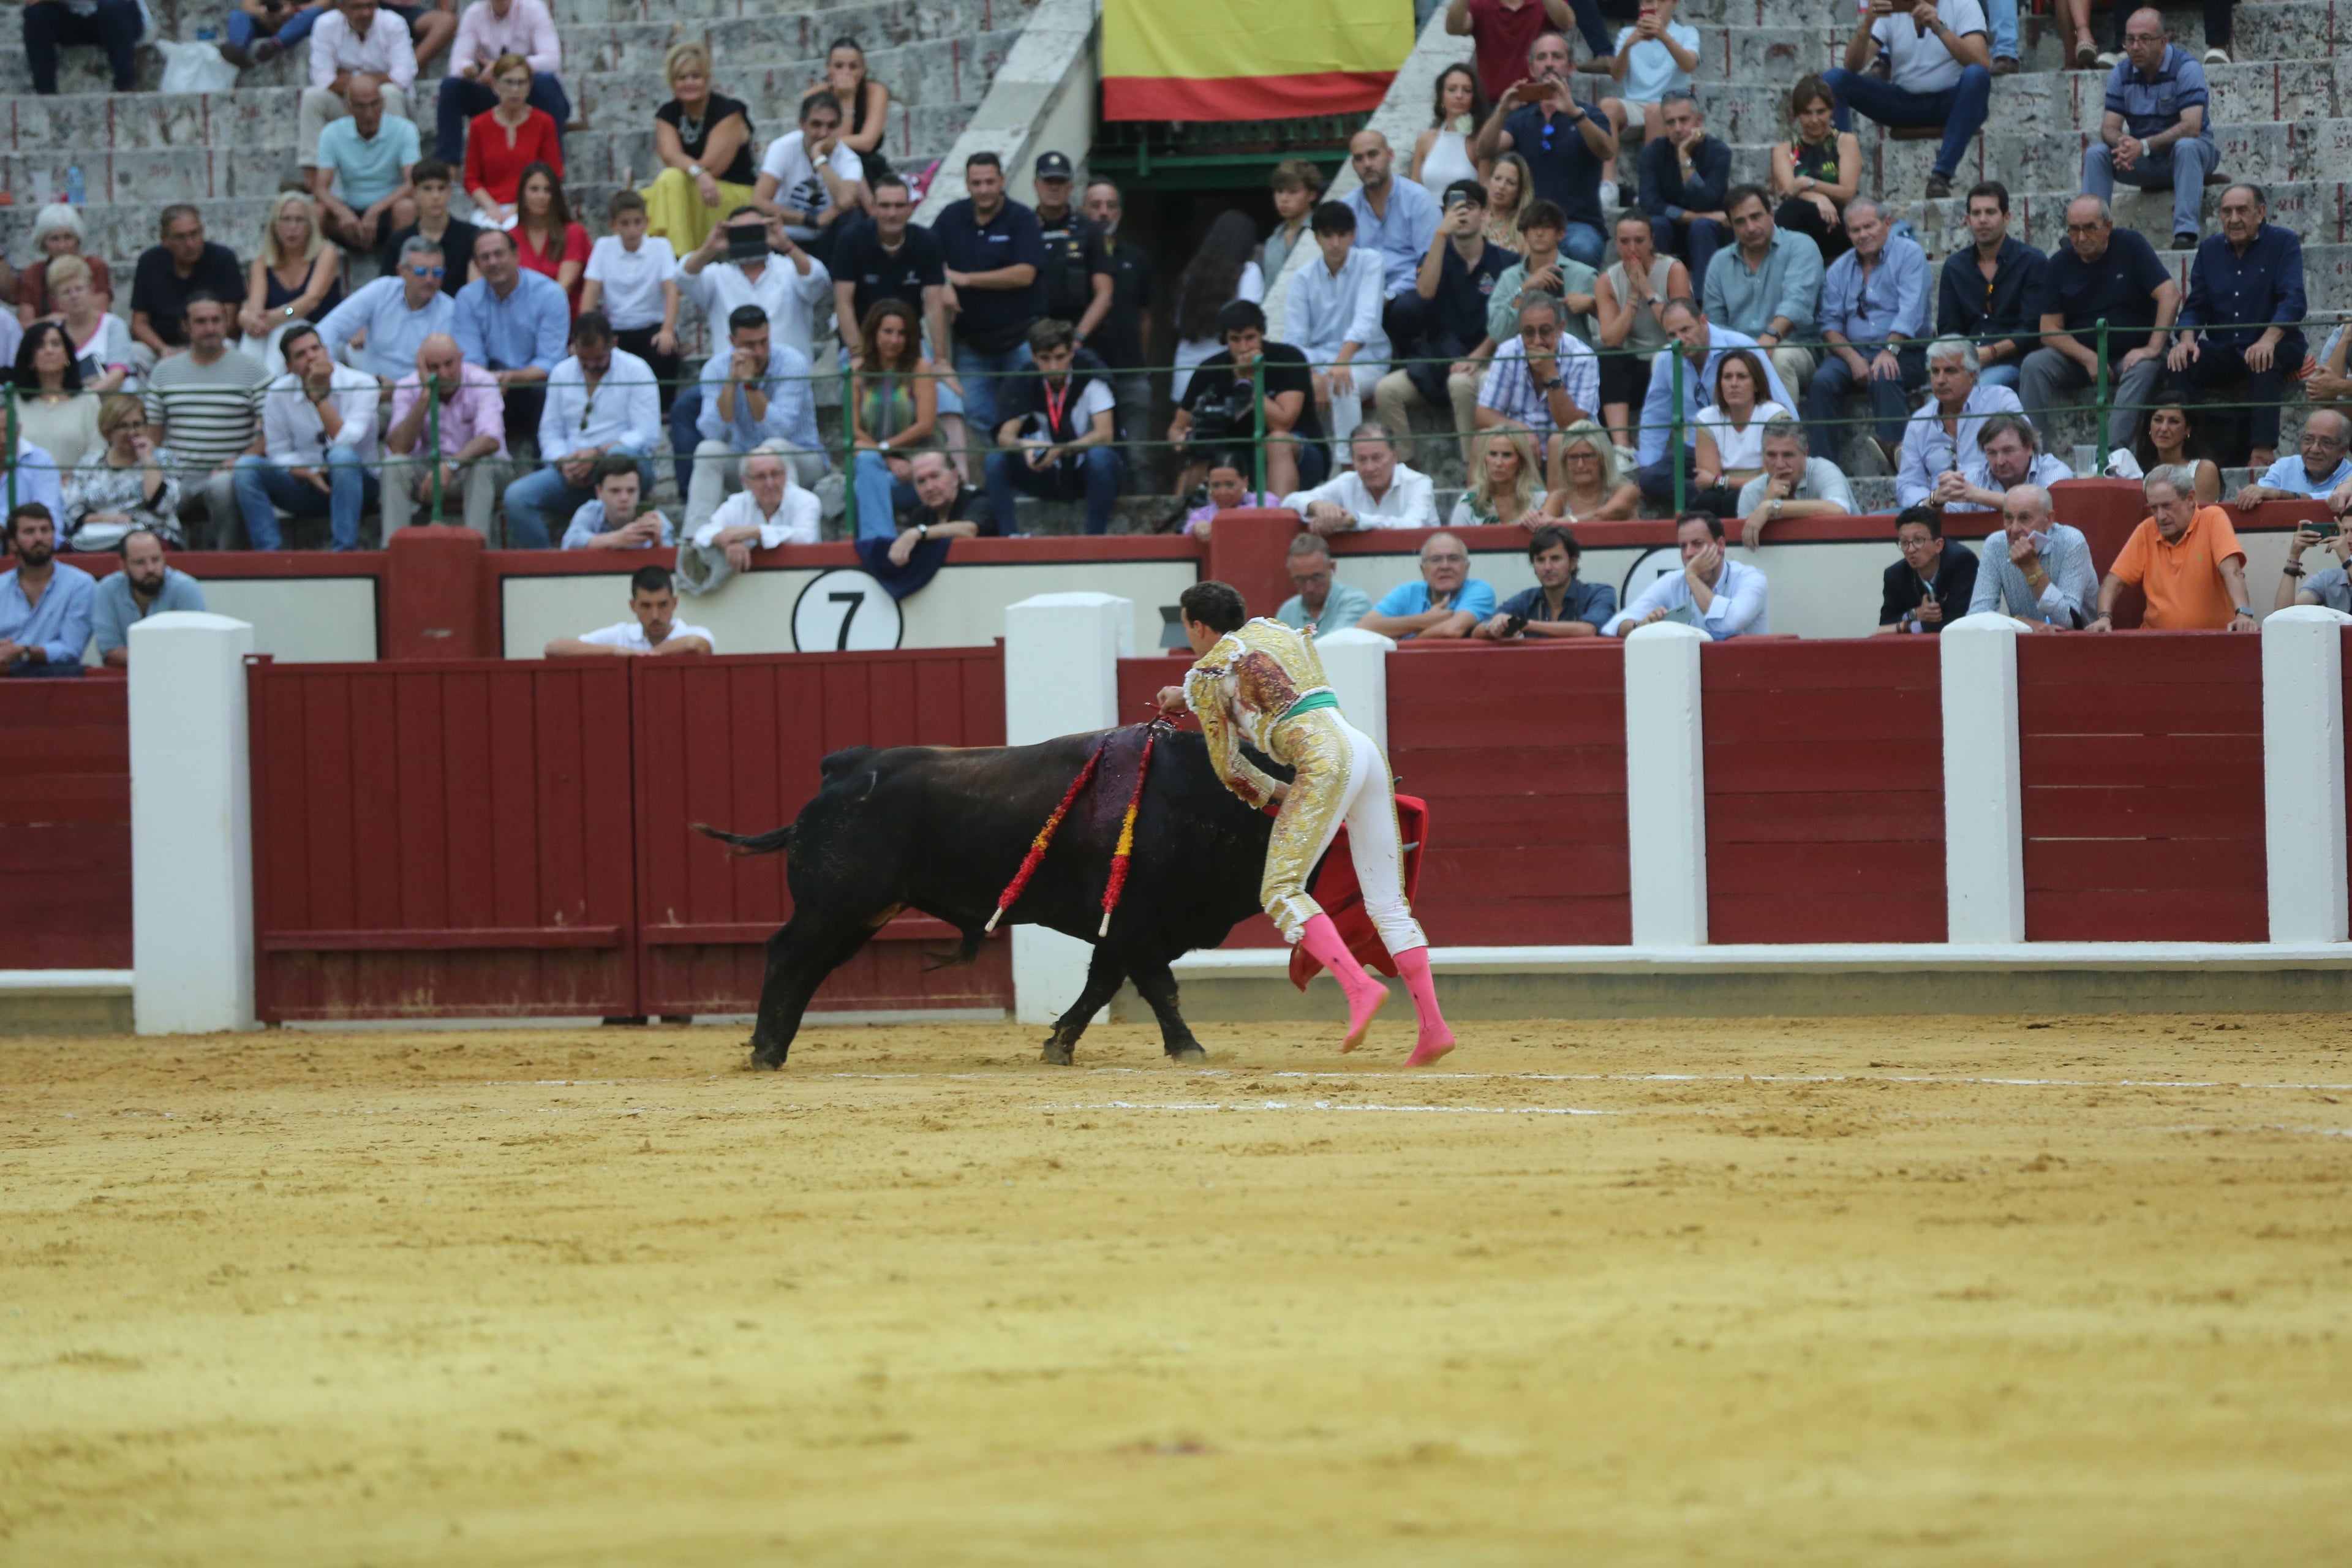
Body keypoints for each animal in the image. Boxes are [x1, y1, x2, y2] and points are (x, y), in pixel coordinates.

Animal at [696, 728, 1289, 1072]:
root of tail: (842, 770)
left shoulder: (1120, 930)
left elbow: (1100, 986)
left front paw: (1058, 1047)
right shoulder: (1135, 925)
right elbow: (1158, 988)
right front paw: (1188, 1049)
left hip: (857, 913)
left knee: (808, 964)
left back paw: (773, 1048)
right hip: (836, 906)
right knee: (789, 956)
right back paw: (766, 1051)